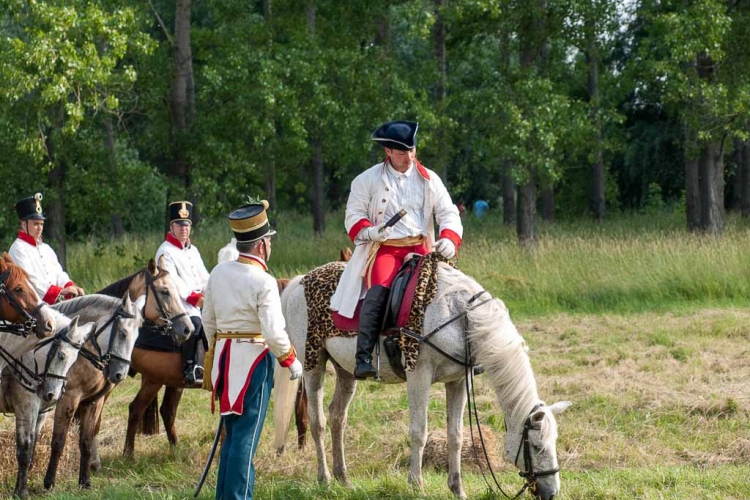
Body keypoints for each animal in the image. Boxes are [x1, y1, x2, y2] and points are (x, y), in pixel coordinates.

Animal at [42, 258, 195, 488]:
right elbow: (60, 438)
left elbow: (89, 431)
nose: (187, 329)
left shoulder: (93, 397)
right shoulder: (68, 398)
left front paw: (89, 470)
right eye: (165, 291)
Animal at [274, 262, 572, 500]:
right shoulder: (419, 375)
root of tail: (299, 281)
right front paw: (416, 485)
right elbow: (419, 431)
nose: (551, 492)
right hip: (313, 364)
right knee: (318, 421)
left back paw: (344, 479)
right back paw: (324, 478)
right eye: (537, 446)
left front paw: (457, 488)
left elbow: (456, 435)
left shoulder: (458, 381)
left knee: (338, 418)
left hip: (346, 372)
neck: (460, 315)